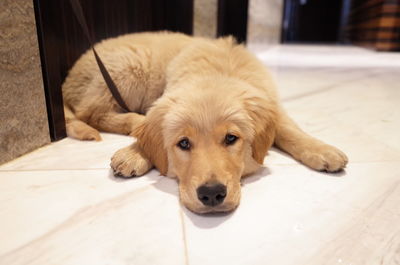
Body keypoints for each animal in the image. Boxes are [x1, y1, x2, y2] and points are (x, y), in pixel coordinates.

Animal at [61, 31, 346, 212]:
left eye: (231, 138)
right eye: (184, 143)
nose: (211, 194)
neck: (219, 71)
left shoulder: (272, 103)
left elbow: (288, 130)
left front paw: (323, 150)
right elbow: (152, 127)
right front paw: (134, 153)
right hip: (129, 67)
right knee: (90, 113)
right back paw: (134, 120)